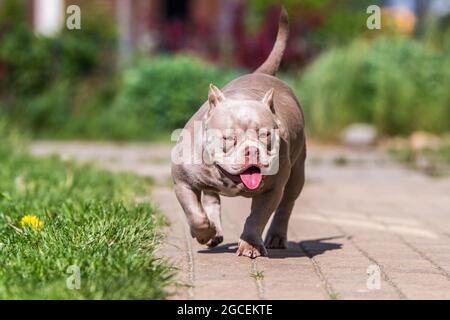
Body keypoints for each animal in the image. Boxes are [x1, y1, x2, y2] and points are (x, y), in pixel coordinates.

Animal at [171, 6, 306, 258]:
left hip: (297, 173)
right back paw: (213, 233)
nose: (252, 151)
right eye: (229, 139)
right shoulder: (182, 182)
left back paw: (276, 236)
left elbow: (257, 217)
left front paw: (250, 244)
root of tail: (262, 73)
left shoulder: (272, 190)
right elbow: (195, 214)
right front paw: (203, 232)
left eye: (266, 136)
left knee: (287, 204)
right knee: (211, 199)